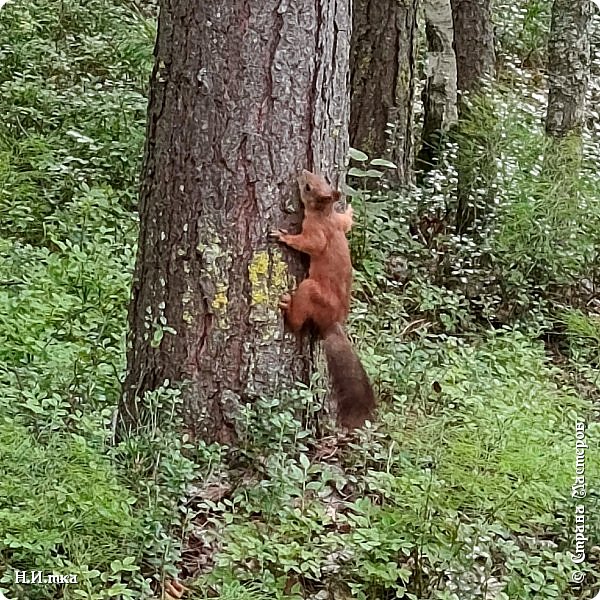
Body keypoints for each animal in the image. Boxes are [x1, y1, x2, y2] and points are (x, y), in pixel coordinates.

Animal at [274, 171, 376, 428]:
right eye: (323, 179)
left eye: (308, 188)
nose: (302, 172)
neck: (325, 214)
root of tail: (332, 322)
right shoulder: (339, 223)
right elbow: (347, 223)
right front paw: (349, 209)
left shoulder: (316, 232)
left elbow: (311, 244)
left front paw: (284, 237)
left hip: (311, 290)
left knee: (297, 323)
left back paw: (287, 308)